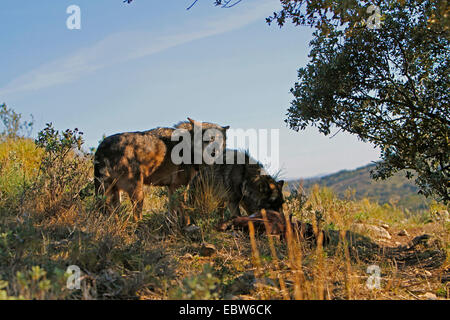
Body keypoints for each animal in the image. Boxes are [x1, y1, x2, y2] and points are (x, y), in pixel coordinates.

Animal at [94, 118, 229, 222]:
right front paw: (187, 225)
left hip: (114, 194)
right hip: (137, 192)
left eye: (219, 141)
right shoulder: (180, 186)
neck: (188, 148)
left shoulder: (172, 187)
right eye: (207, 139)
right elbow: (184, 211)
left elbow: (172, 212)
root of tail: (101, 149)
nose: (214, 153)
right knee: (136, 217)